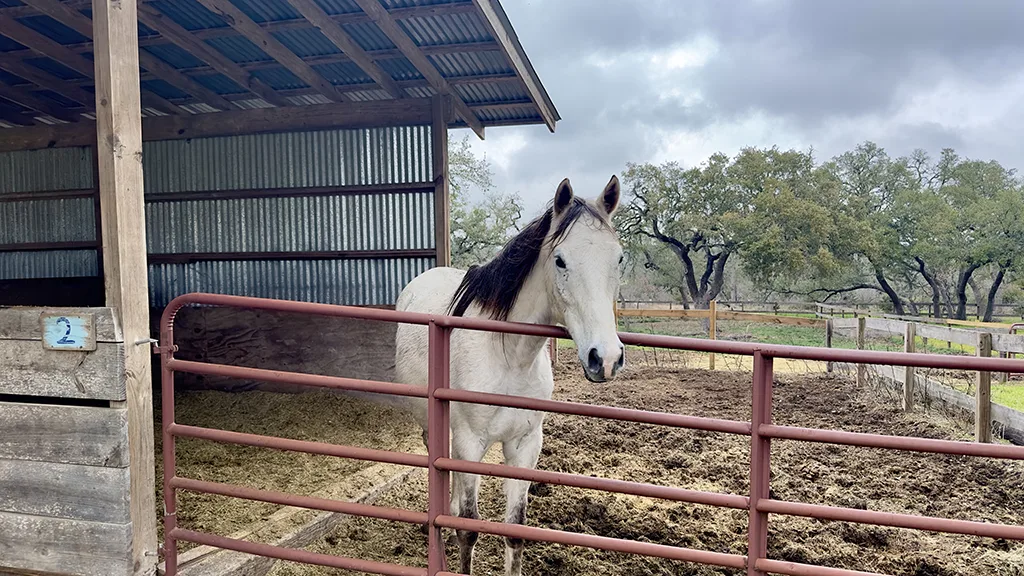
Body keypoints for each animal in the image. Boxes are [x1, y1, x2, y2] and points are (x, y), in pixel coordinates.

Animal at [392, 175, 626, 575]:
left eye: (619, 259)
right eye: (560, 260)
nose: (605, 358)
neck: (509, 358)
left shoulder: (525, 446)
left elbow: (515, 530)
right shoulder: (470, 442)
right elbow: (468, 529)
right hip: (432, 426)